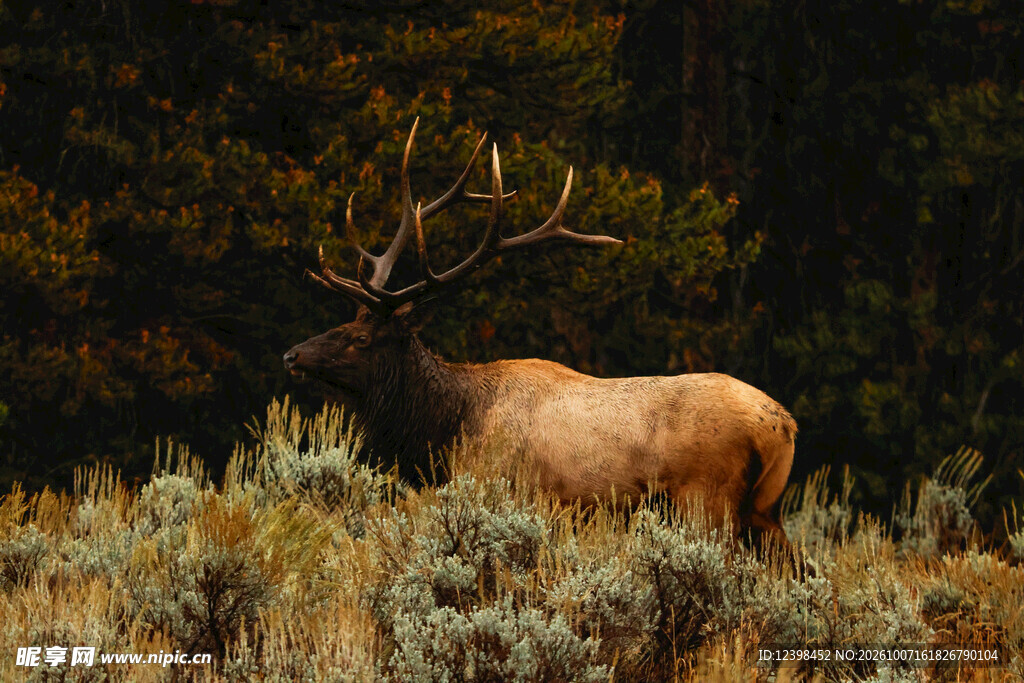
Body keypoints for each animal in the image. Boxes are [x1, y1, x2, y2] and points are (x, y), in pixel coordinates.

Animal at [283, 120, 797, 545]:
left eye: (361, 340)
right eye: (345, 323)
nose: (292, 355)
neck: (450, 430)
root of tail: (782, 425)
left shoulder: (513, 492)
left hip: (707, 500)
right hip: (765, 510)